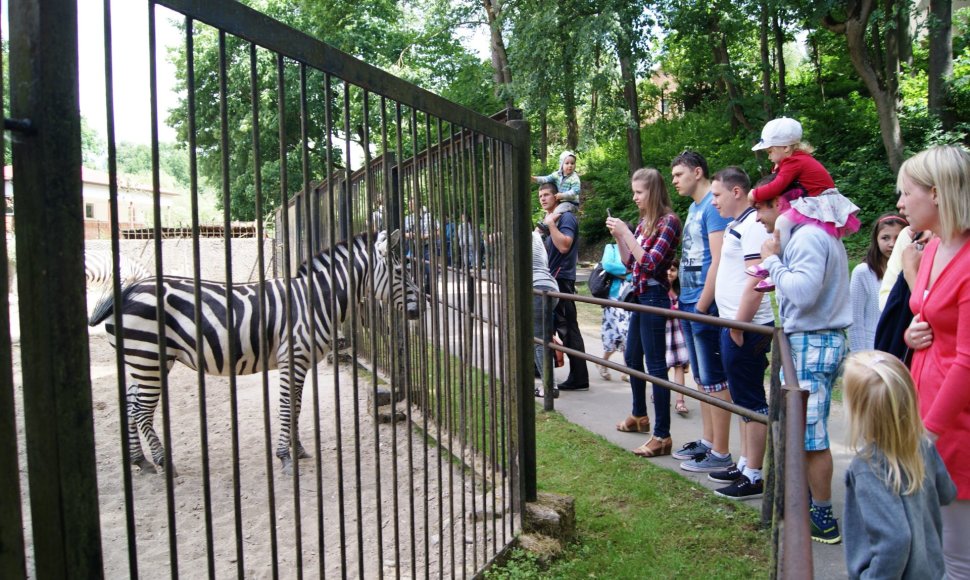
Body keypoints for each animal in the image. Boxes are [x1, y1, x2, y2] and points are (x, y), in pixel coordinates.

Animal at [90, 230, 420, 476]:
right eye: (400, 271)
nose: (425, 305)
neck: (315, 300)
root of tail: (128, 290)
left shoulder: (299, 361)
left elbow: (297, 406)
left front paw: (298, 450)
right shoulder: (292, 358)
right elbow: (288, 406)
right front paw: (285, 456)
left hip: (143, 360)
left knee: (130, 404)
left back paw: (140, 461)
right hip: (147, 357)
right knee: (141, 410)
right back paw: (162, 462)